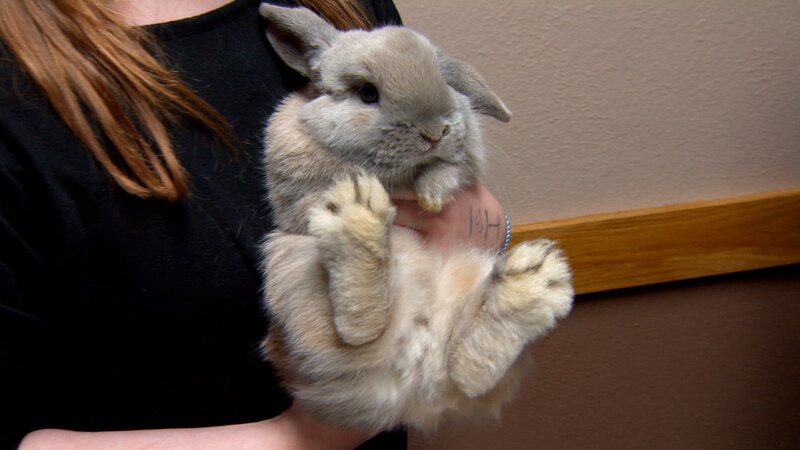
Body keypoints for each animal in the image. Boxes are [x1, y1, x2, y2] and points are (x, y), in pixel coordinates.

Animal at [258, 4, 573, 432]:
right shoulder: (294, 191)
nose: (435, 130)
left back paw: (532, 283)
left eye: (443, 80)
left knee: (467, 369)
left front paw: (434, 194)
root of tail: (413, 387)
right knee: (359, 332)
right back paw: (357, 215)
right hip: (292, 268)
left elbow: (450, 167)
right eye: (367, 92)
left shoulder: (465, 158)